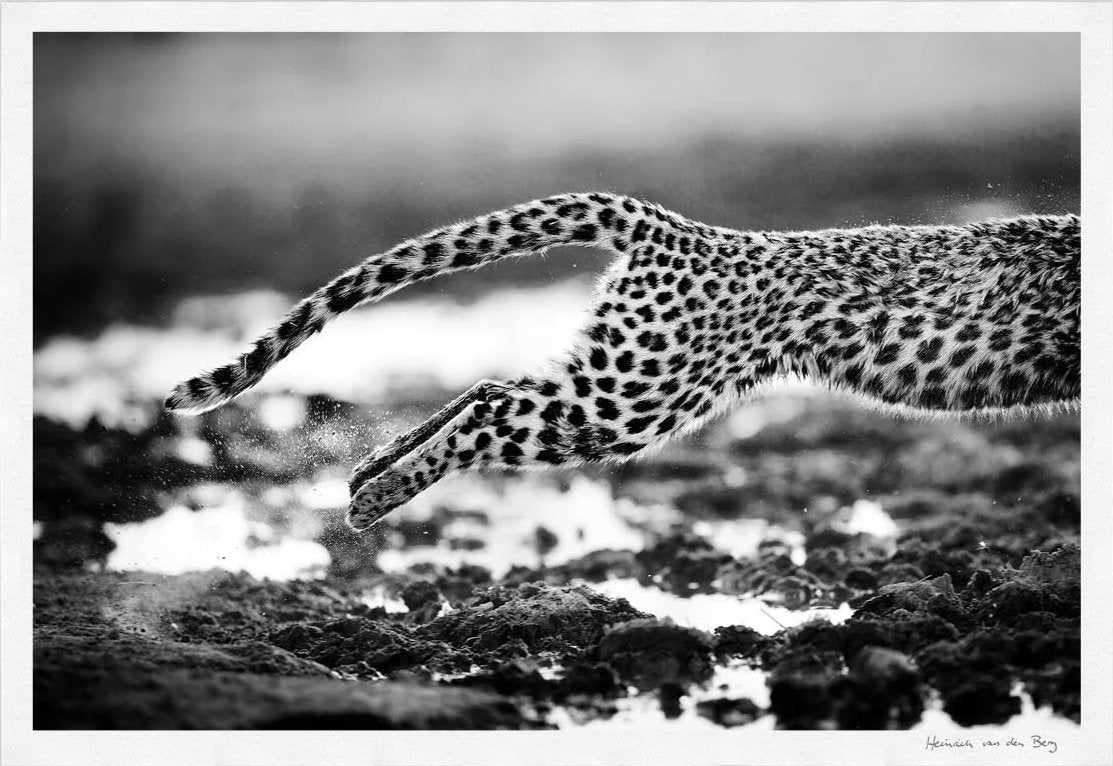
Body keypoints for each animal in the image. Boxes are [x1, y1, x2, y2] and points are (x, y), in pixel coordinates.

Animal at [165, 192, 1081, 532]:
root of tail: (679, 228)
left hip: (619, 368)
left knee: (490, 386)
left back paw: (368, 470)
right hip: (633, 395)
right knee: (495, 410)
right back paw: (372, 499)